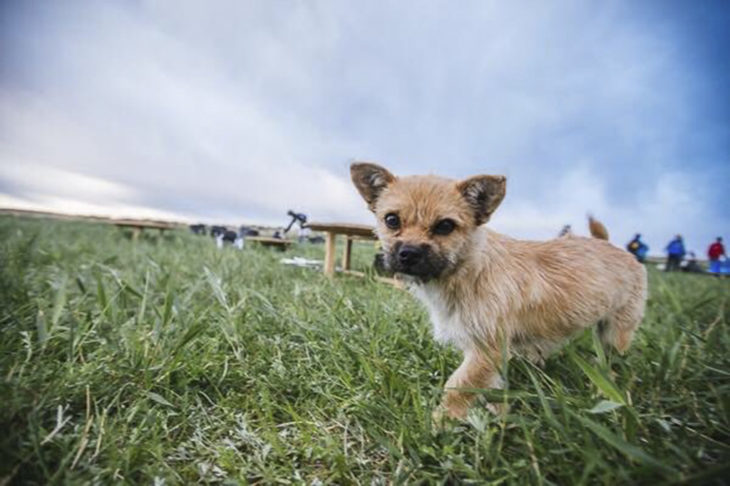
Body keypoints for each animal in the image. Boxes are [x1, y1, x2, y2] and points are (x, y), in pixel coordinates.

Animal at [350, 163, 644, 422]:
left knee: (612, 359)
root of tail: (614, 247)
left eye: (445, 226)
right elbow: (488, 387)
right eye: (391, 220)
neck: (467, 271)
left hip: (616, 331)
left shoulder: (485, 349)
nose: (408, 253)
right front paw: (497, 415)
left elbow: (459, 384)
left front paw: (442, 421)